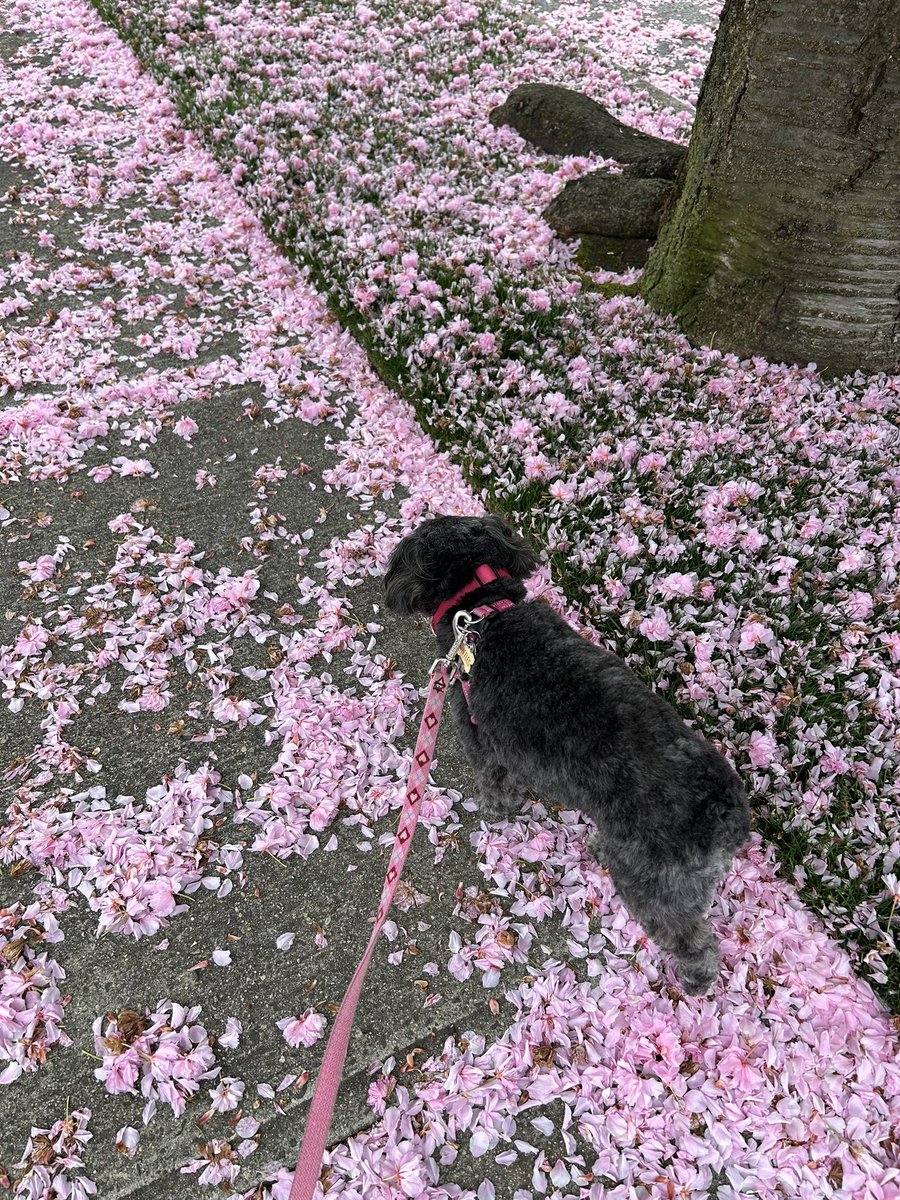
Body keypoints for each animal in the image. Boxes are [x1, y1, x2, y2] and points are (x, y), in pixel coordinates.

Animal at [386, 516, 753, 993]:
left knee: (689, 937)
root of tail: (725, 810)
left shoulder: (482, 741)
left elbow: (496, 787)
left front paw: (493, 810)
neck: (484, 612)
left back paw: (695, 978)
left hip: (656, 884)